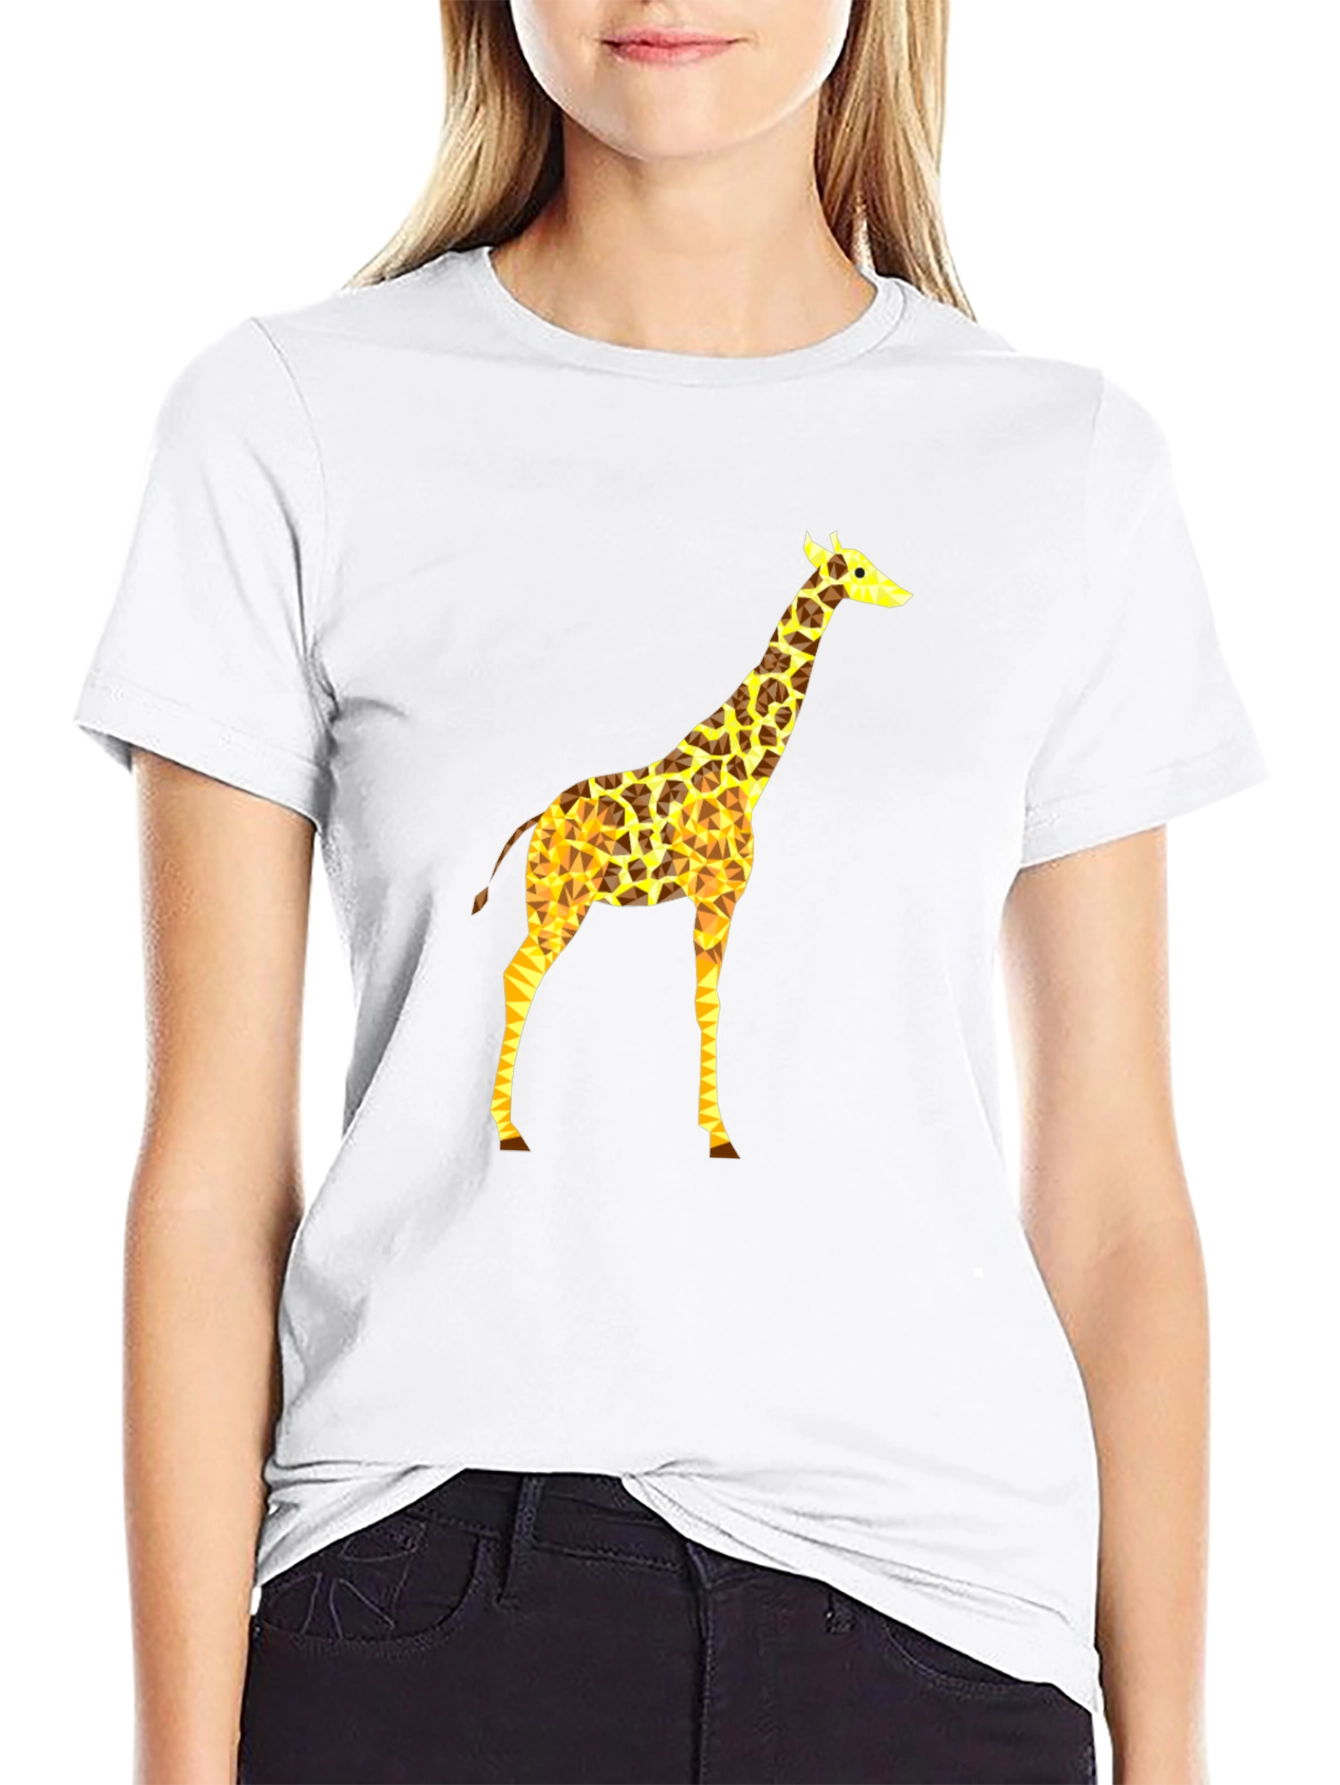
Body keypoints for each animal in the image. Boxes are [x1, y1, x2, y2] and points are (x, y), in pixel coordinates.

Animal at [470, 531, 914, 1157]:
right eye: (856, 570)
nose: (903, 594)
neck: (745, 775)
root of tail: (538, 820)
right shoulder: (718, 895)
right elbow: (711, 1004)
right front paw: (719, 1134)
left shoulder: (711, 900)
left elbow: (705, 1001)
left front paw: (710, 1126)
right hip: (559, 903)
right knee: (518, 977)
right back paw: (509, 1130)